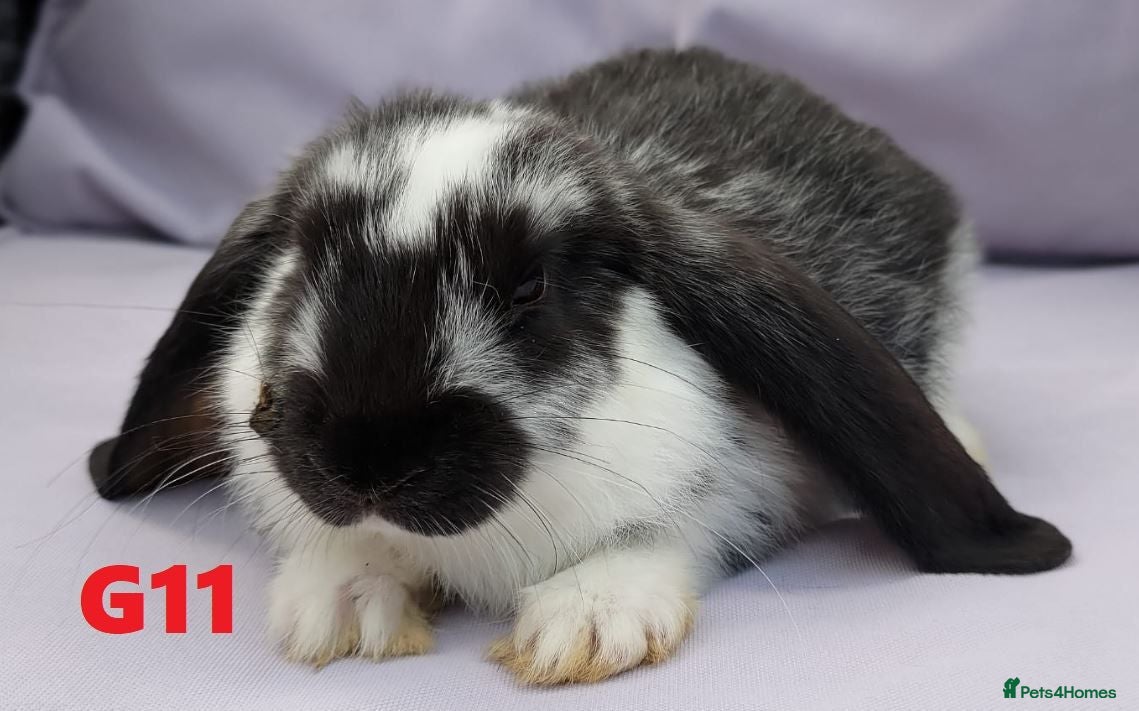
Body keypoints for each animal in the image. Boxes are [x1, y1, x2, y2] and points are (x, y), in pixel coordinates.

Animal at [88, 47, 1070, 684]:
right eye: (304, 261)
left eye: (531, 287)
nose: (367, 462)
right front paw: (343, 602)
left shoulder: (738, 483)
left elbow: (668, 529)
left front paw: (586, 621)